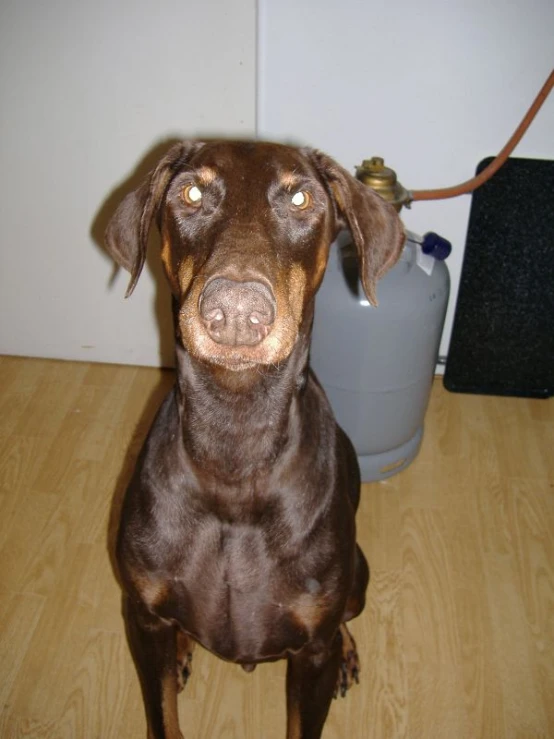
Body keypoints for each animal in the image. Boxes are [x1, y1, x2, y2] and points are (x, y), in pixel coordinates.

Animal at [105, 140, 404, 739]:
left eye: (301, 198)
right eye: (191, 192)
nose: (239, 313)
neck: (234, 449)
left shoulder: (311, 653)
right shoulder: (142, 616)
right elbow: (162, 712)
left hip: (357, 573)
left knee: (347, 616)